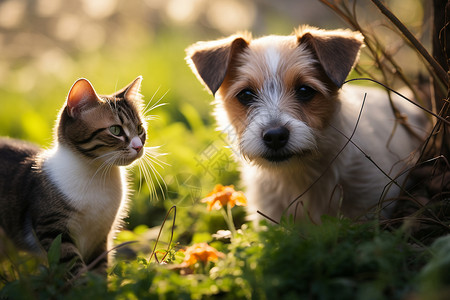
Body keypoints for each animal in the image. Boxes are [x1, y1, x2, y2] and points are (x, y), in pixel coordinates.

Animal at [0, 76, 149, 278]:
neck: (97, 175)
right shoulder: (53, 230)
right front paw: (83, 284)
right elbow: (74, 267)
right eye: (116, 130)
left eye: (140, 128)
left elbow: (99, 268)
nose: (138, 146)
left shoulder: (101, 236)